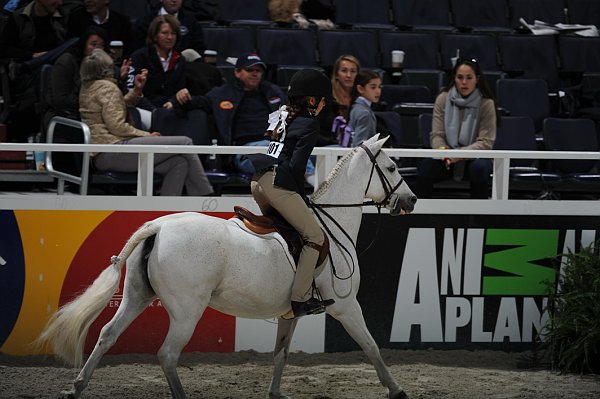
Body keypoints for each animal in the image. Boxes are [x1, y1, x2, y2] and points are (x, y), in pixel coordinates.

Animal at [36, 135, 418, 399]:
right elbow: (371, 346)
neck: (332, 225)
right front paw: (396, 389)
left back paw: (76, 387)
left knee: (107, 335)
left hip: (136, 297)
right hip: (187, 310)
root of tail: (158, 226)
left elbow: (281, 353)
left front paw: (275, 393)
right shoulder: (346, 307)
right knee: (167, 354)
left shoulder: (290, 312)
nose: (411, 199)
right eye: (392, 168)